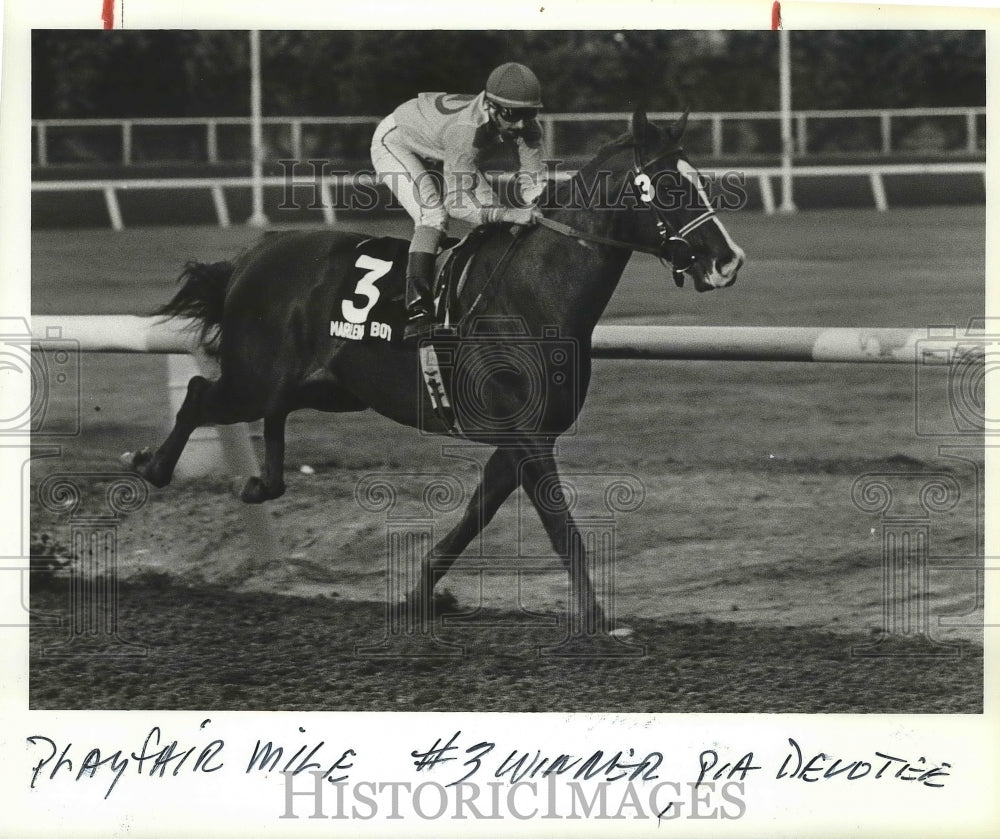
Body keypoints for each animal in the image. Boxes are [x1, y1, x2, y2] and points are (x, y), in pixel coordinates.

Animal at [125, 110, 744, 632]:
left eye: (701, 181)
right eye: (670, 187)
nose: (728, 261)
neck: (535, 296)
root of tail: (250, 257)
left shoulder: (525, 436)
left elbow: (476, 515)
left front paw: (419, 593)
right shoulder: (522, 432)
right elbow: (560, 525)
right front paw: (597, 619)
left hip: (320, 386)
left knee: (268, 416)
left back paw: (257, 482)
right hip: (256, 377)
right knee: (200, 392)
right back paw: (150, 465)